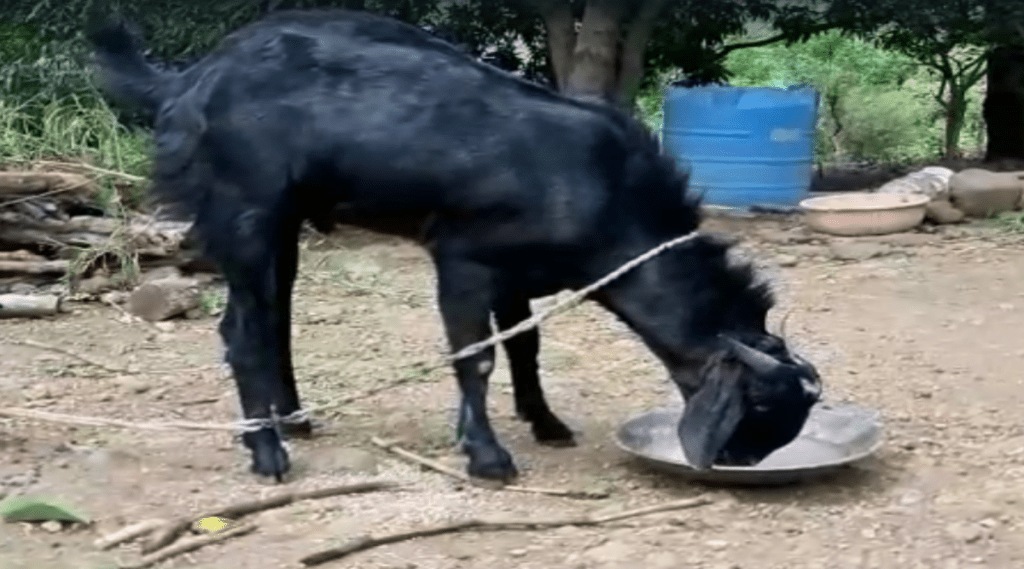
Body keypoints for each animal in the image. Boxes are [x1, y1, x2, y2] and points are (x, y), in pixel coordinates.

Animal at [86, 7, 823, 480]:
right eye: (761, 404)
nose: (740, 460)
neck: (606, 189)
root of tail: (190, 82)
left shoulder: (520, 274)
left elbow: (526, 345)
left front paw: (546, 422)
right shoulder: (464, 258)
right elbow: (477, 357)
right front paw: (488, 456)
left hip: (283, 222)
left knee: (275, 317)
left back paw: (293, 420)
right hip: (245, 212)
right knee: (241, 331)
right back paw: (269, 455)